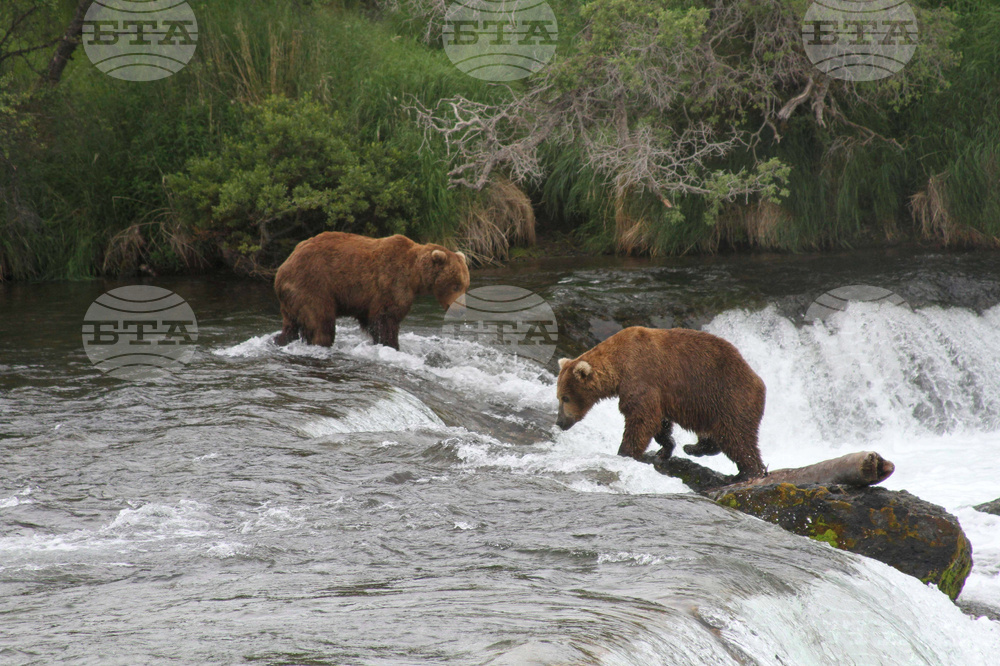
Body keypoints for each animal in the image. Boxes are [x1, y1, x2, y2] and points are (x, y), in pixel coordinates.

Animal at [273, 231, 469, 350]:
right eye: (455, 286)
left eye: (465, 285)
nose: (461, 311)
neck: (415, 276)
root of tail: (282, 269)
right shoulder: (391, 283)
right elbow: (386, 319)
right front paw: (391, 345)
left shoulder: (367, 300)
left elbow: (372, 320)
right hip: (313, 285)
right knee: (321, 322)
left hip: (292, 298)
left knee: (291, 325)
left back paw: (279, 340)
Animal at [555, 326, 767, 480]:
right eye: (558, 397)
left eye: (565, 398)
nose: (559, 422)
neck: (619, 365)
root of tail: (759, 381)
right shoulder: (659, 393)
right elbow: (659, 422)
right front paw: (665, 448)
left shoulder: (641, 376)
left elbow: (642, 418)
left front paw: (625, 452)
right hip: (709, 408)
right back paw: (693, 447)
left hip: (728, 397)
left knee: (736, 437)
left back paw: (748, 472)